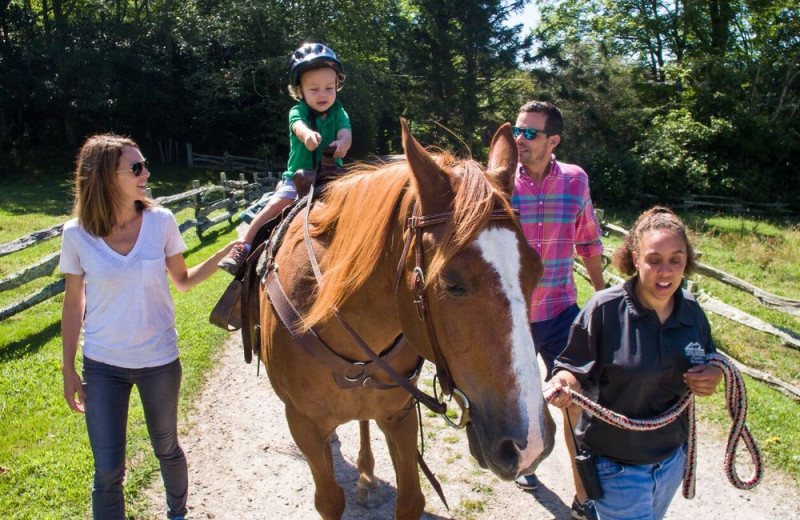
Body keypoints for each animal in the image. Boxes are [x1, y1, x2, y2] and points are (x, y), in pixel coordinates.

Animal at [256, 119, 556, 520]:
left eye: (537, 272)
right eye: (452, 283)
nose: (531, 443)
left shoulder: (399, 416)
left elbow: (412, 497)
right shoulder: (302, 425)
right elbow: (329, 499)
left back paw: (367, 477)